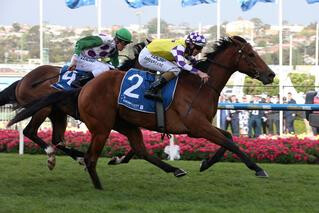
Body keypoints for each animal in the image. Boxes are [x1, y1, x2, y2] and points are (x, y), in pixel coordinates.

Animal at [8, 35, 276, 189]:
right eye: (250, 54)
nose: (271, 74)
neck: (199, 87)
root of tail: (84, 87)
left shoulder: (199, 127)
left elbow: (228, 138)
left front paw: (206, 163)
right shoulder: (196, 126)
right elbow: (230, 142)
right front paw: (258, 168)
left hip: (112, 121)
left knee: (138, 148)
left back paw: (173, 169)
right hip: (92, 123)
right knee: (54, 140)